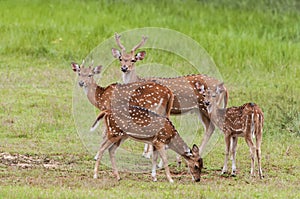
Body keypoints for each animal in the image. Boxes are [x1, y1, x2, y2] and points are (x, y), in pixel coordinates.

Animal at [70, 61, 203, 183]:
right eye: (79, 73)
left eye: (90, 74)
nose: (81, 83)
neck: (100, 97)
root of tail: (169, 93)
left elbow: (103, 134)